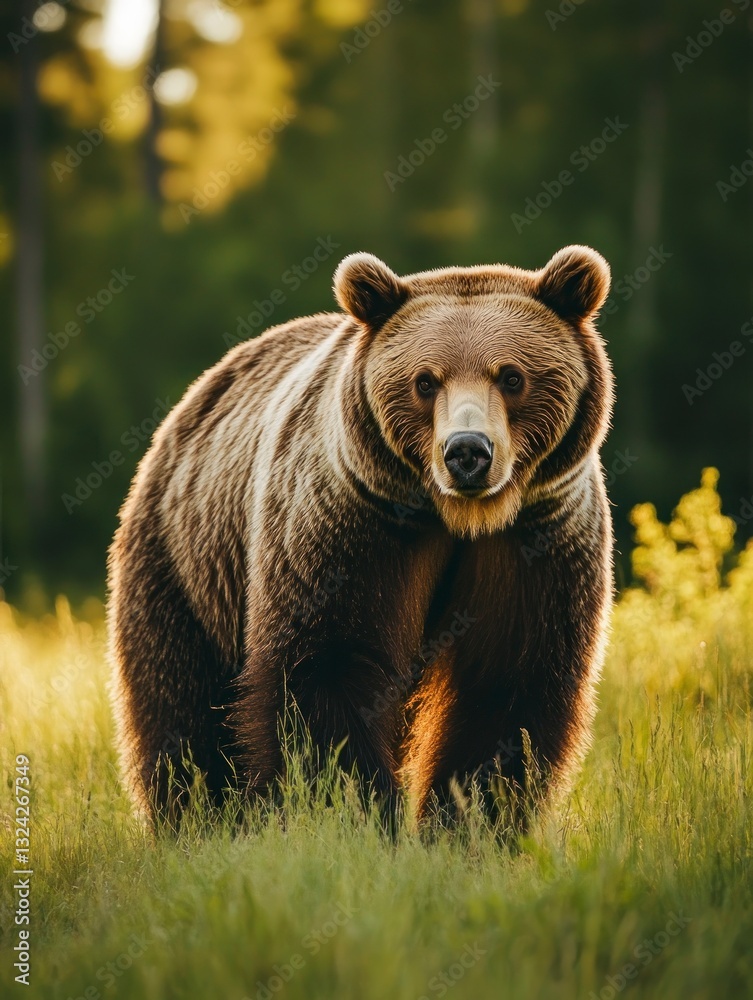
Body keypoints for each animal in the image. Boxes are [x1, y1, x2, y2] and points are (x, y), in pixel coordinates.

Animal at [107, 244, 614, 828]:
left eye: (511, 377)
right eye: (425, 381)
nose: (467, 451)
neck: (457, 519)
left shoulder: (536, 540)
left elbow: (508, 688)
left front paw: (468, 821)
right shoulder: (352, 527)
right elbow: (327, 668)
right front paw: (355, 814)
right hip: (185, 561)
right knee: (182, 709)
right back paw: (199, 818)